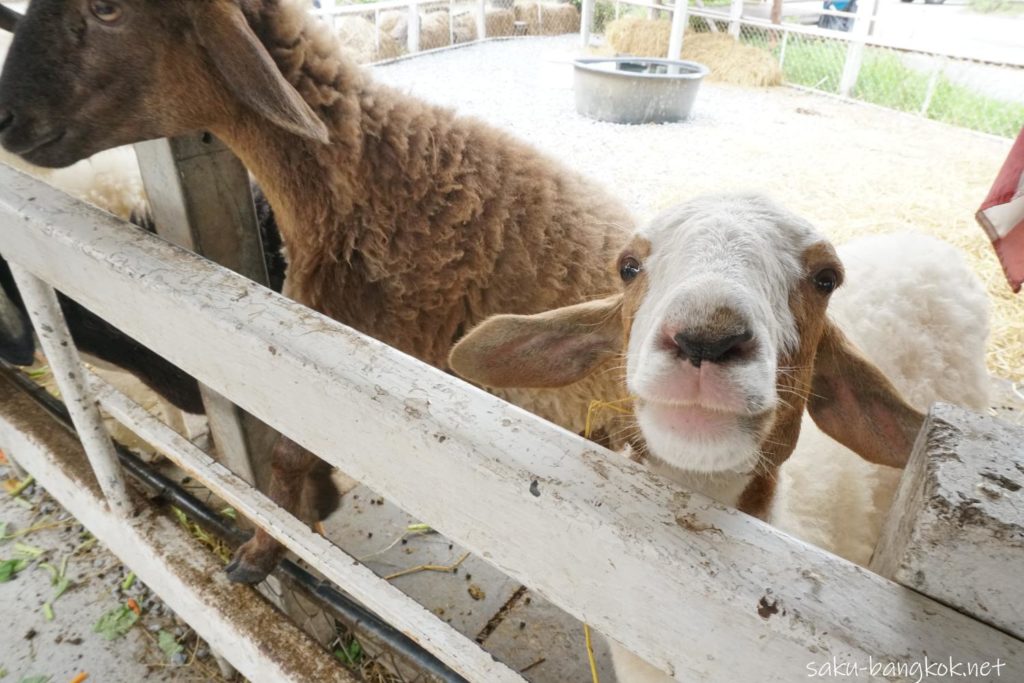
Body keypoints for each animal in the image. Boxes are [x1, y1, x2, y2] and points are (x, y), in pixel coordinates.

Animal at [0, 2, 630, 585]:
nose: (5, 118)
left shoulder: (341, 358)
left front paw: (264, 549)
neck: (367, 183)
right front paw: (313, 505)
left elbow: (285, 455)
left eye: (106, 9)